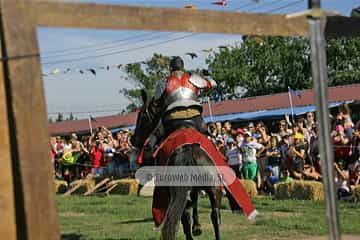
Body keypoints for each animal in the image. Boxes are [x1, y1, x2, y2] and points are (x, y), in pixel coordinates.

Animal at [131, 90, 222, 240]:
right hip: (213, 189)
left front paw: (197, 227)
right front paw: (197, 227)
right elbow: (195, 201)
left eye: (142, 117)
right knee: (214, 215)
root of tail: (189, 152)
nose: (133, 139)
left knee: (185, 218)